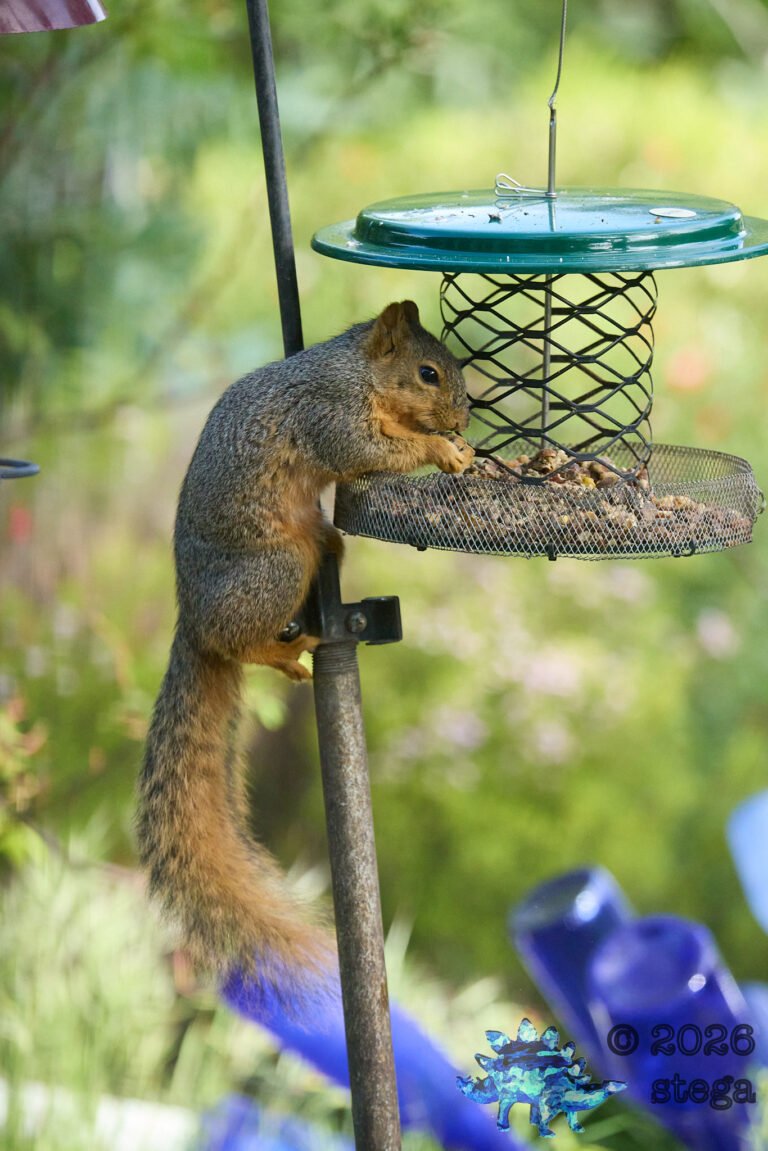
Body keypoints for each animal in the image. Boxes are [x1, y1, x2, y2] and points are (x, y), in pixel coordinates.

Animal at [135, 300, 474, 999]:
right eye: (428, 373)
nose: (463, 418)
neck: (357, 374)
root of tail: (191, 618)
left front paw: (461, 446)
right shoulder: (329, 420)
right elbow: (371, 451)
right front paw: (442, 450)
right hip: (274, 571)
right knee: (238, 642)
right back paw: (290, 650)